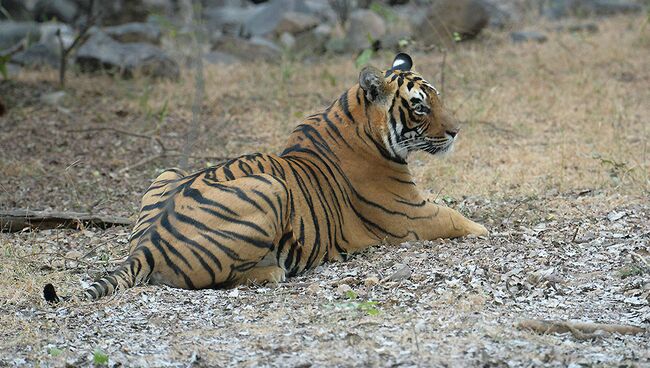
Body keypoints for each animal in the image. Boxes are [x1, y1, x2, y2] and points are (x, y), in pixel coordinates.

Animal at [41, 53, 486, 304]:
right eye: (420, 106)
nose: (457, 131)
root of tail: (145, 246)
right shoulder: (411, 213)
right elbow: (456, 218)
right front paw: (484, 229)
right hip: (270, 188)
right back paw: (272, 271)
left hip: (167, 171)